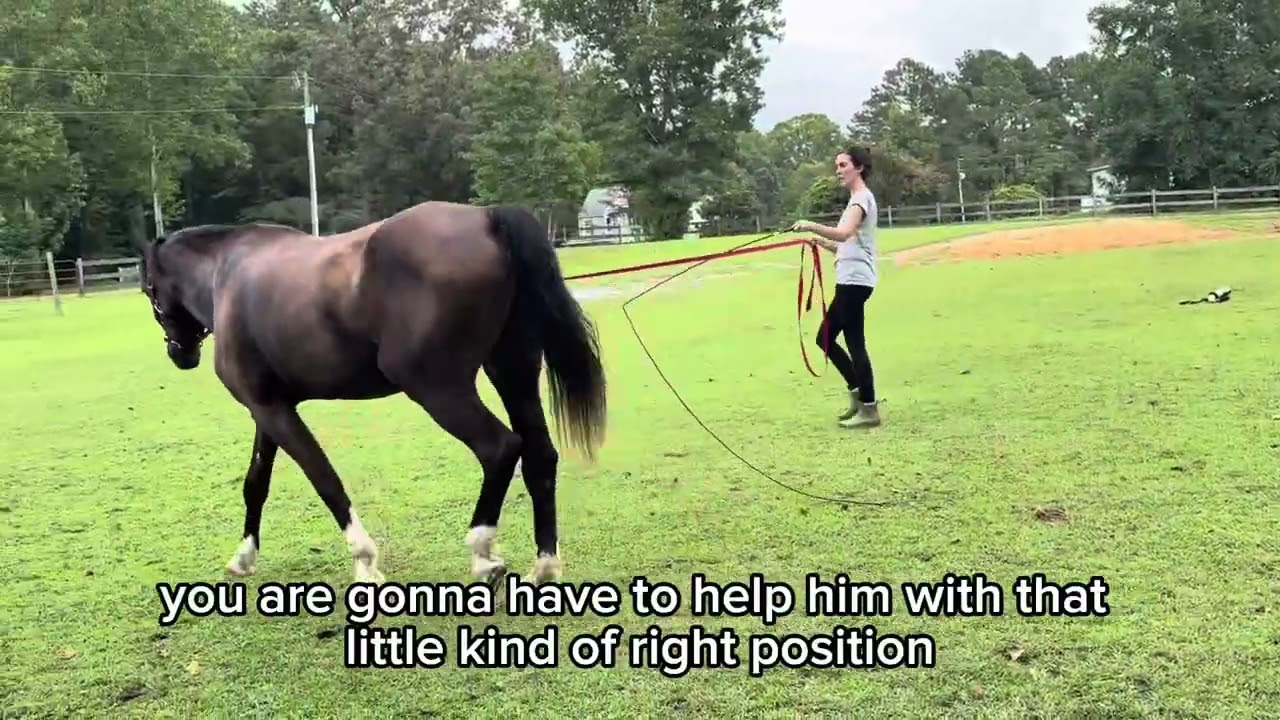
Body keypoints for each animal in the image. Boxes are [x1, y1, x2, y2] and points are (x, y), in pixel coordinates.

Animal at [133, 200, 608, 587]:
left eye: (149, 289)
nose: (180, 353)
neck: (225, 275)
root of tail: (486, 218)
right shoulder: (268, 408)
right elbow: (256, 482)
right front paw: (244, 556)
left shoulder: (272, 410)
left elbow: (324, 479)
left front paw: (364, 560)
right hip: (512, 371)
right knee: (539, 455)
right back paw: (544, 565)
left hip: (437, 388)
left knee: (500, 448)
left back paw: (482, 551)